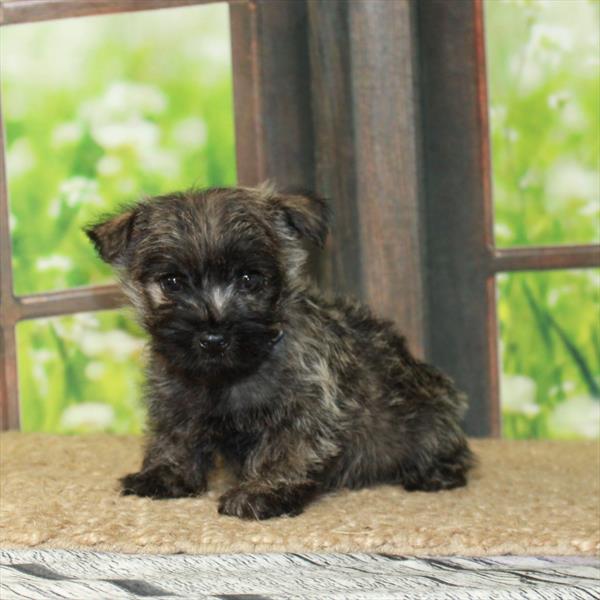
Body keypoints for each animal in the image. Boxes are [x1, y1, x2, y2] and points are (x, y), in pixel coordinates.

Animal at [88, 185, 474, 516]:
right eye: (172, 282)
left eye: (249, 279)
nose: (213, 337)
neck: (228, 376)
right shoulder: (175, 405)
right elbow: (173, 441)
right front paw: (163, 476)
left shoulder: (304, 412)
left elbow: (283, 454)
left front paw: (262, 492)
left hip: (433, 419)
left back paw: (433, 474)